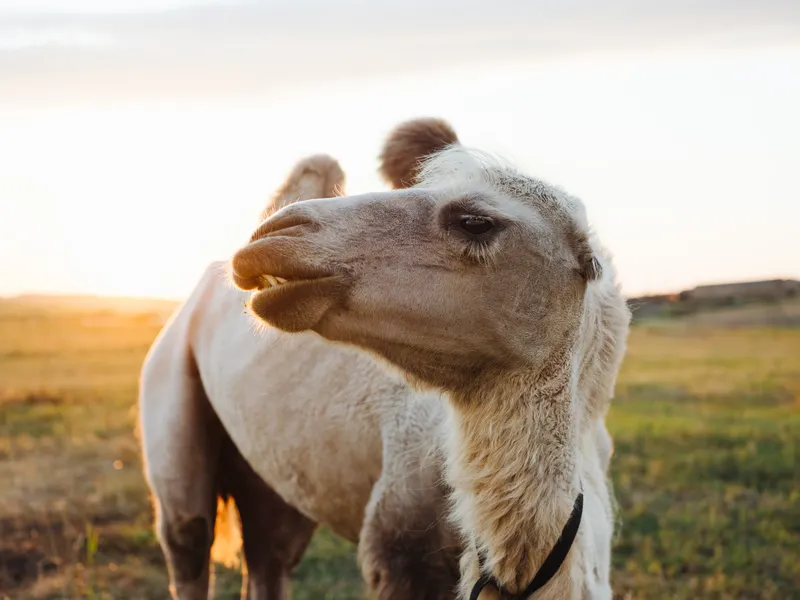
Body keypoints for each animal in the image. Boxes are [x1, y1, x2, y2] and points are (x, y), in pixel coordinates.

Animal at [139, 118, 629, 600]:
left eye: (475, 221)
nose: (272, 235)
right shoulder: (399, 551)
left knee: (267, 552)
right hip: (169, 398)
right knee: (189, 536)